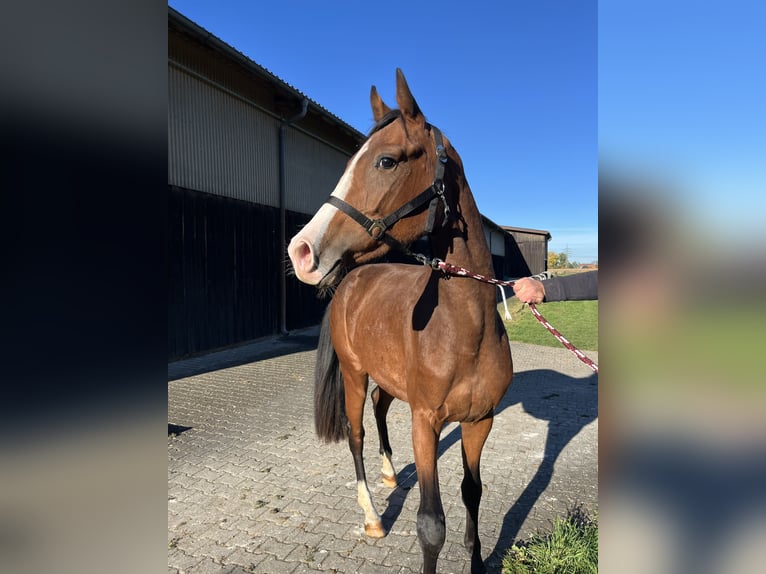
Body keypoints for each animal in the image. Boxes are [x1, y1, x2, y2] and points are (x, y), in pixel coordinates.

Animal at [287, 69, 513, 574]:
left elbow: (473, 492)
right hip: (354, 375)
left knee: (377, 406)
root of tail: (351, 279)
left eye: (386, 161)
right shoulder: (424, 423)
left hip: (387, 380)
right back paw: (373, 515)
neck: (465, 329)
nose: (301, 251)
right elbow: (432, 525)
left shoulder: (480, 421)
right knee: (356, 434)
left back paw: (391, 473)